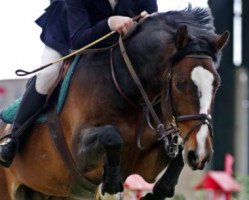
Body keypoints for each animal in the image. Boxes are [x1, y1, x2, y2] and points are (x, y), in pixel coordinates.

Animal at [0, 7, 229, 200]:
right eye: (180, 84)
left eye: (217, 84)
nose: (201, 154)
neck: (128, 89)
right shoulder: (79, 155)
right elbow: (112, 136)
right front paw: (110, 183)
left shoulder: (148, 165)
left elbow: (178, 151)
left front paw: (161, 189)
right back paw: (7, 148)